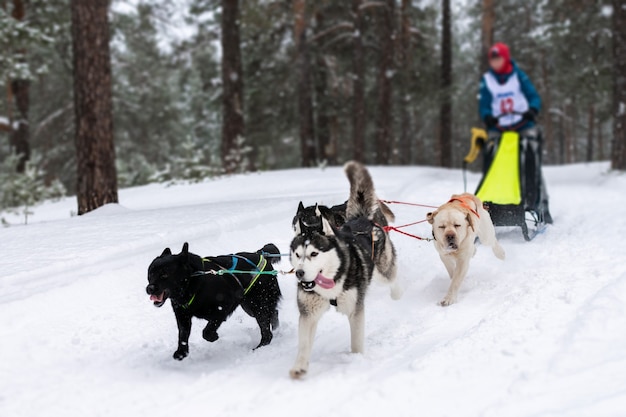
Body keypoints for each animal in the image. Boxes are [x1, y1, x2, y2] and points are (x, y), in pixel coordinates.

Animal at [145, 242, 282, 360]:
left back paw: (260, 347)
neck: (193, 281)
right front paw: (182, 352)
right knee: (274, 313)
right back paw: (276, 330)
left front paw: (213, 336)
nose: (149, 288)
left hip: (258, 305)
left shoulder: (223, 306)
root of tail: (262, 254)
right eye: (150, 274)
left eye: (164, 274)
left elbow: (207, 330)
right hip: (249, 307)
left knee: (267, 331)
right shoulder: (182, 316)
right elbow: (183, 335)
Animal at [288, 159, 400, 376]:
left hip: (383, 270)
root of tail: (364, 218)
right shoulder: (309, 313)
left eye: (314, 254)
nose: (300, 273)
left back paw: (397, 297)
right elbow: (304, 344)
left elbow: (356, 343)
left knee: (393, 277)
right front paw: (299, 367)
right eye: (298, 255)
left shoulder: (355, 310)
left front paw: (356, 361)